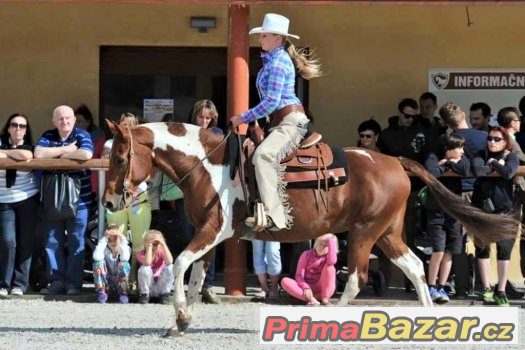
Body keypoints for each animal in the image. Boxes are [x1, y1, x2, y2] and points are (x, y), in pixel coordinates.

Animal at [103, 121, 516, 334]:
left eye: (120, 158)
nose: (108, 202)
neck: (211, 165)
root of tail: (396, 161)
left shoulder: (214, 230)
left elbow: (179, 264)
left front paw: (180, 316)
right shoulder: (211, 235)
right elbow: (196, 277)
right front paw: (181, 322)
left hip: (365, 233)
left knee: (358, 277)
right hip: (387, 233)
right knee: (415, 266)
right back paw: (428, 318)